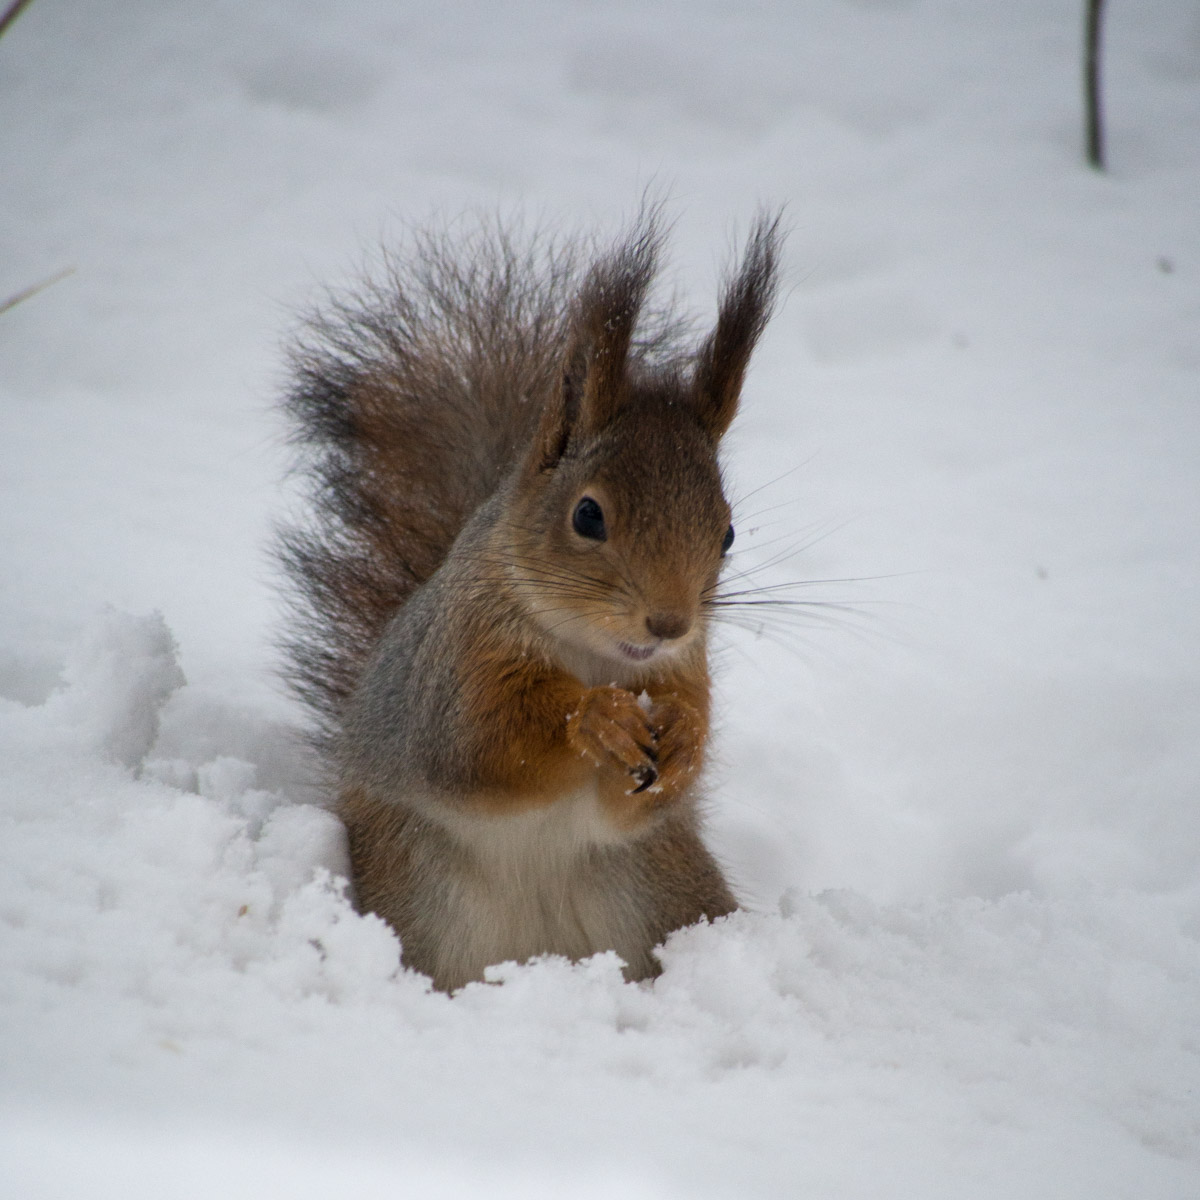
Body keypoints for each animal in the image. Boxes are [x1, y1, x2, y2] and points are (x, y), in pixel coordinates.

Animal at [276, 208, 782, 993]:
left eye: (727, 532)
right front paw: (596, 719)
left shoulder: (683, 674)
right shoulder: (458, 667)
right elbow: (484, 748)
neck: (591, 652)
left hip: (661, 886)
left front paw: (684, 741)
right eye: (588, 516)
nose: (668, 624)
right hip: (419, 888)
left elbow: (636, 800)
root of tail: (541, 959)